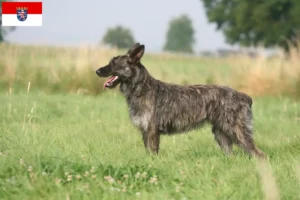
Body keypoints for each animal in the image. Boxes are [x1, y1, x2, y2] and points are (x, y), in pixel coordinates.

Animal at [95, 43, 264, 159]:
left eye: (113, 63)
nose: (96, 71)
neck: (141, 89)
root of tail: (245, 97)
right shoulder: (145, 131)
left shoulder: (152, 131)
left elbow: (153, 153)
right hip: (221, 135)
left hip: (237, 131)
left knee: (258, 154)